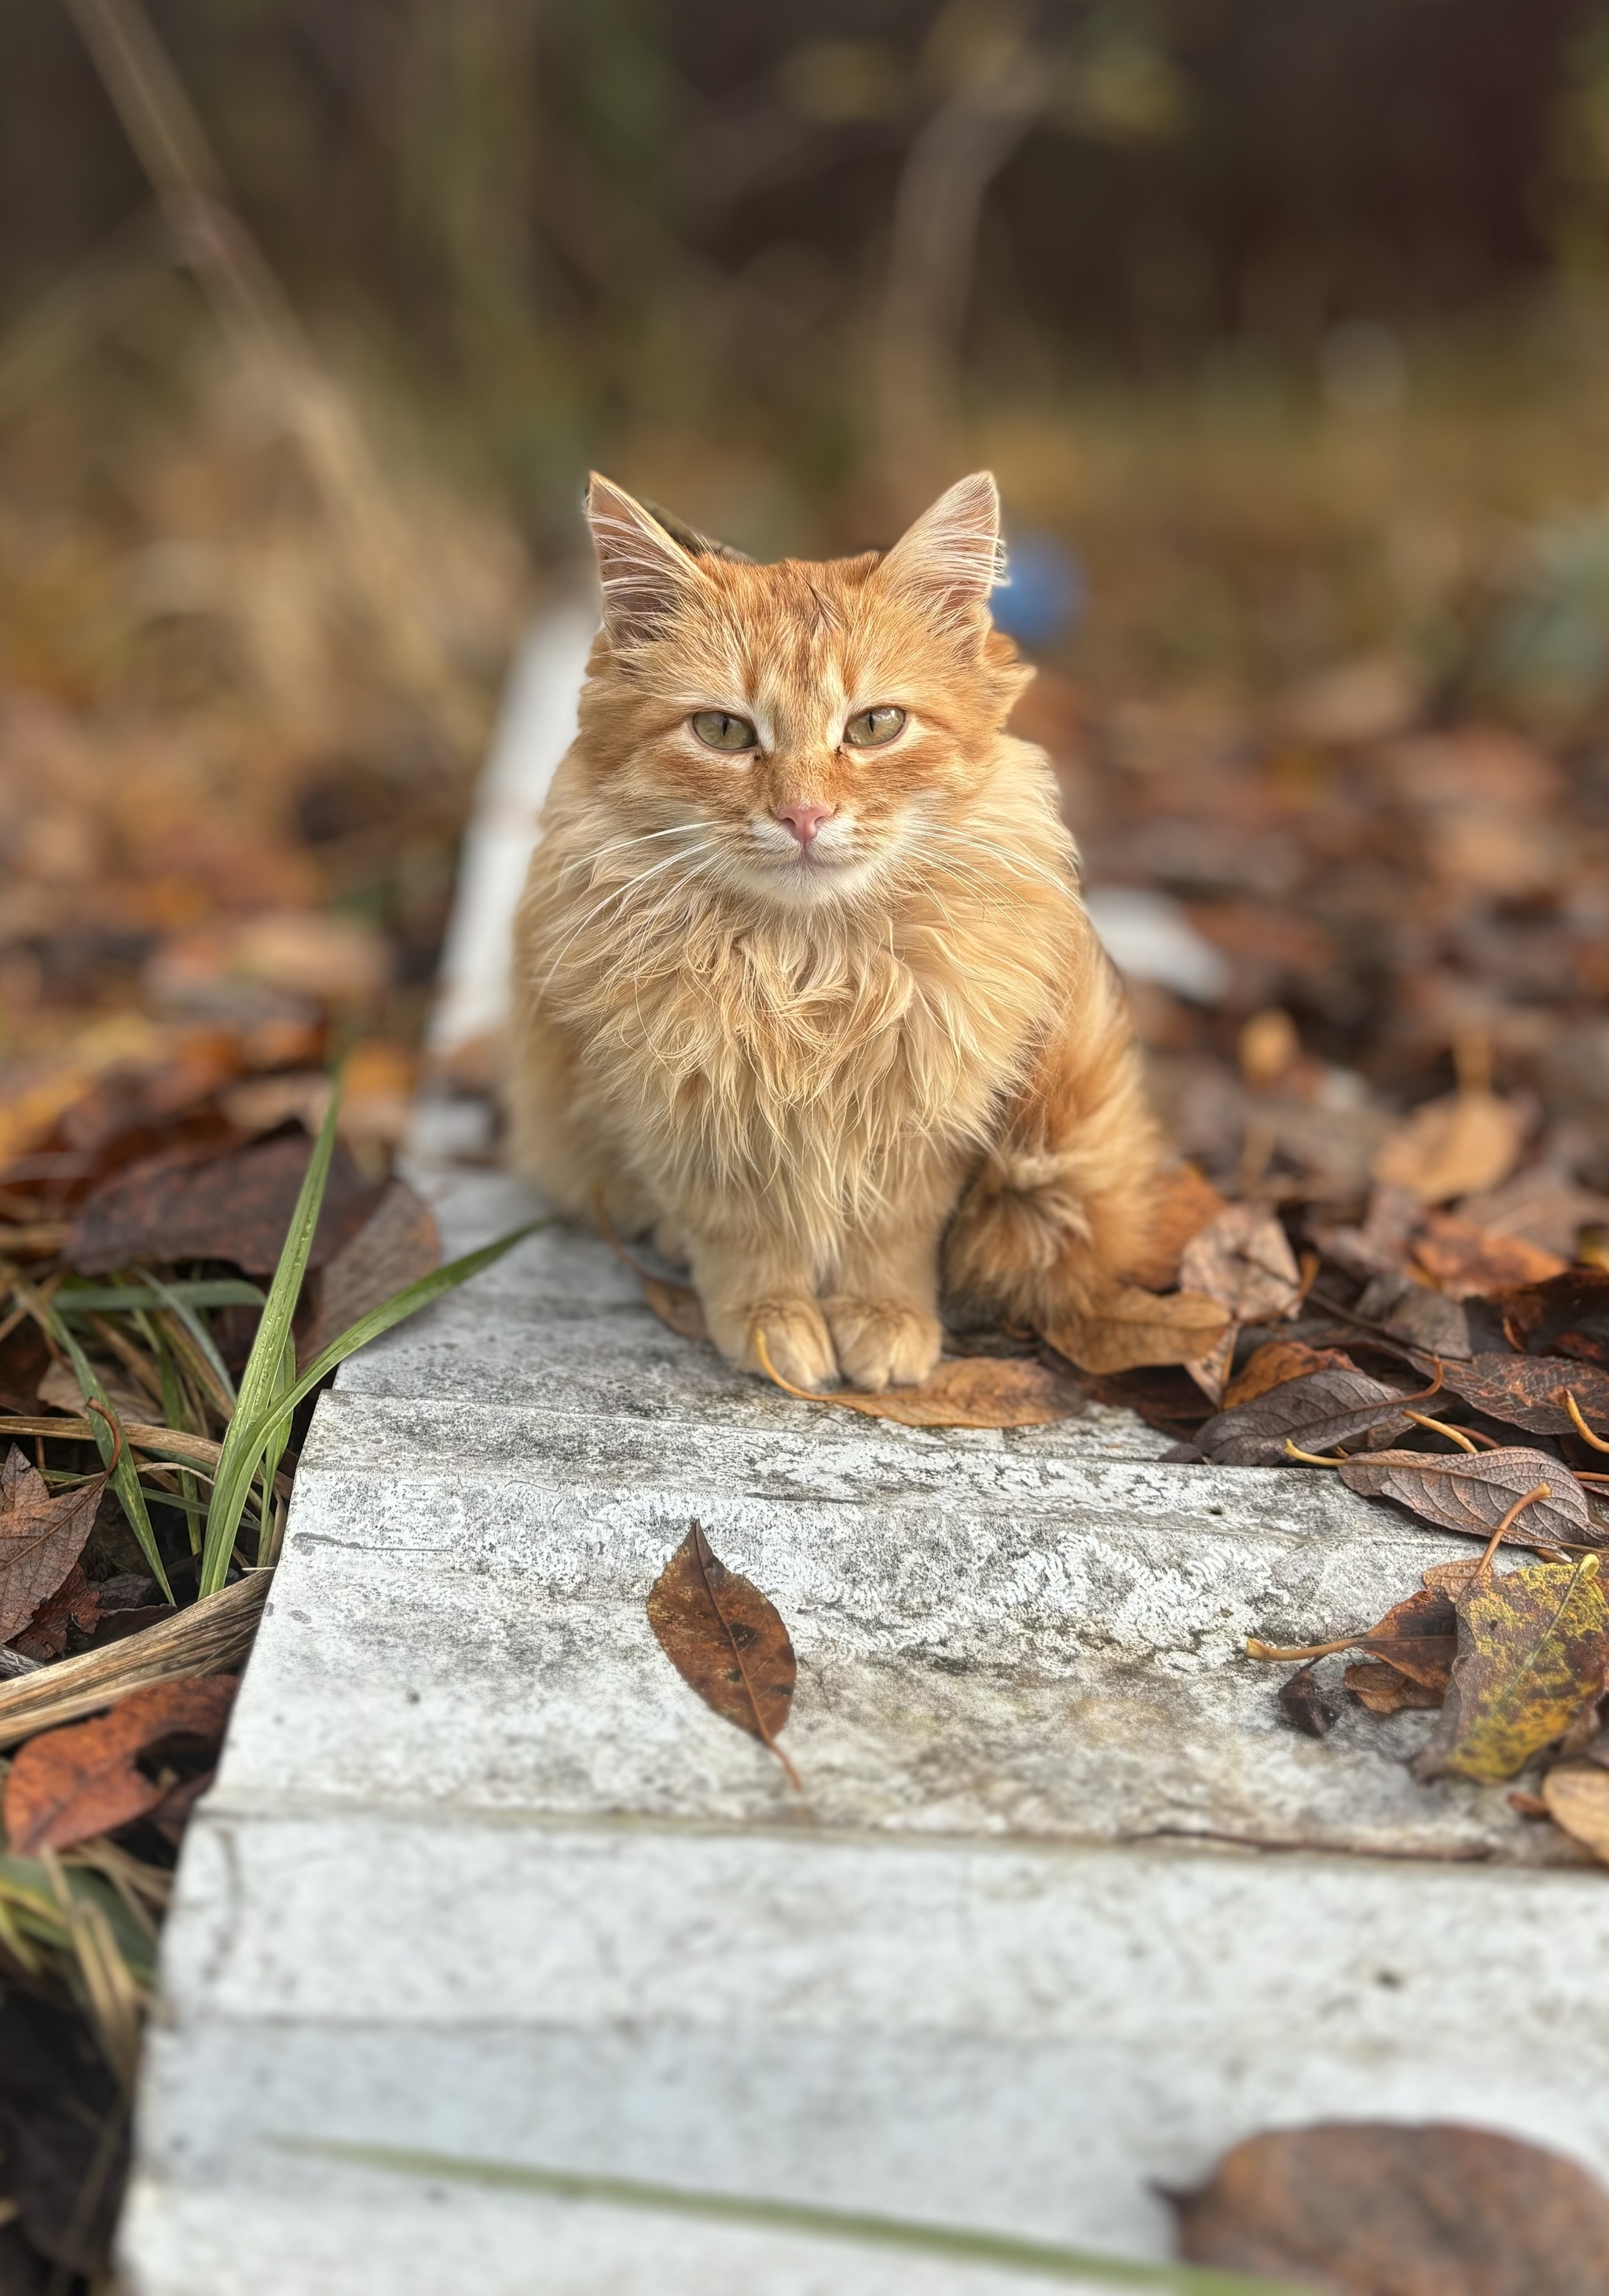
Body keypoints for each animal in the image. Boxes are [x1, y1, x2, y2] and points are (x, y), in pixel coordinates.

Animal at [507, 475, 1147, 1386]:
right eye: (723, 731)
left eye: (875, 726)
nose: (803, 815)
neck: (806, 968)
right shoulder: (685, 1121)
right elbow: (745, 1241)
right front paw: (771, 1324)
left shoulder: (926, 1128)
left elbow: (888, 1242)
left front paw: (883, 1320)